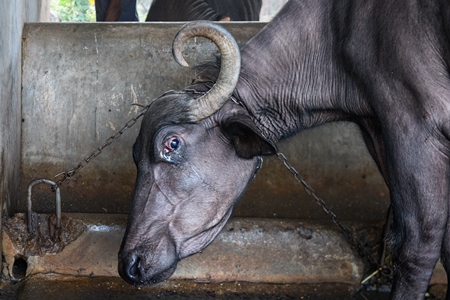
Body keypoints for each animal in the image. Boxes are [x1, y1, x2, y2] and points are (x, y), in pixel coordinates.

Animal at [117, 0, 450, 298]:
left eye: (172, 143)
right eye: (135, 155)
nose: (129, 264)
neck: (335, 33)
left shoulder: (415, 124)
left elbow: (417, 246)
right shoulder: (377, 129)